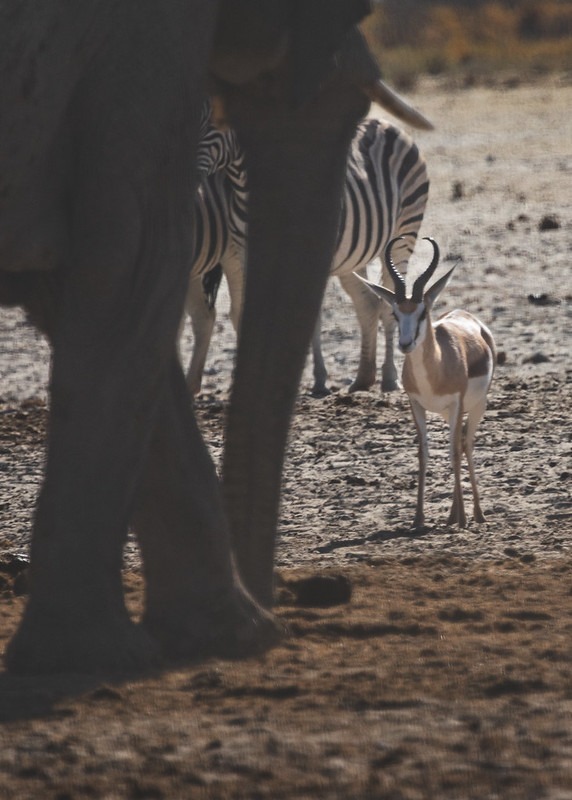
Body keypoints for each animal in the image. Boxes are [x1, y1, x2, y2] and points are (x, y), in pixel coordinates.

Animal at [185, 115, 429, 396]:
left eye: (212, 123)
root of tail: (385, 122)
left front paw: (316, 380)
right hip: (352, 257)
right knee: (368, 303)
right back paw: (363, 378)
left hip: (403, 233)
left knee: (389, 303)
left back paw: (389, 378)